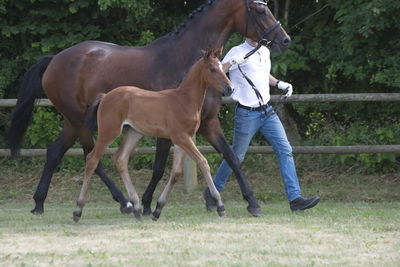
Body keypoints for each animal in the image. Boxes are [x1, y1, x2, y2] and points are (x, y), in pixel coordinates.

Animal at [73, 49, 233, 223]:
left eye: (223, 67)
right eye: (212, 69)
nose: (230, 88)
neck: (184, 100)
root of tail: (105, 97)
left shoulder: (184, 139)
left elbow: (176, 172)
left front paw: (157, 210)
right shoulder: (181, 137)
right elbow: (203, 162)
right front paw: (220, 207)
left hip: (134, 133)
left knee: (120, 159)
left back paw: (136, 208)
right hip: (108, 132)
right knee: (92, 159)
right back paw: (78, 210)